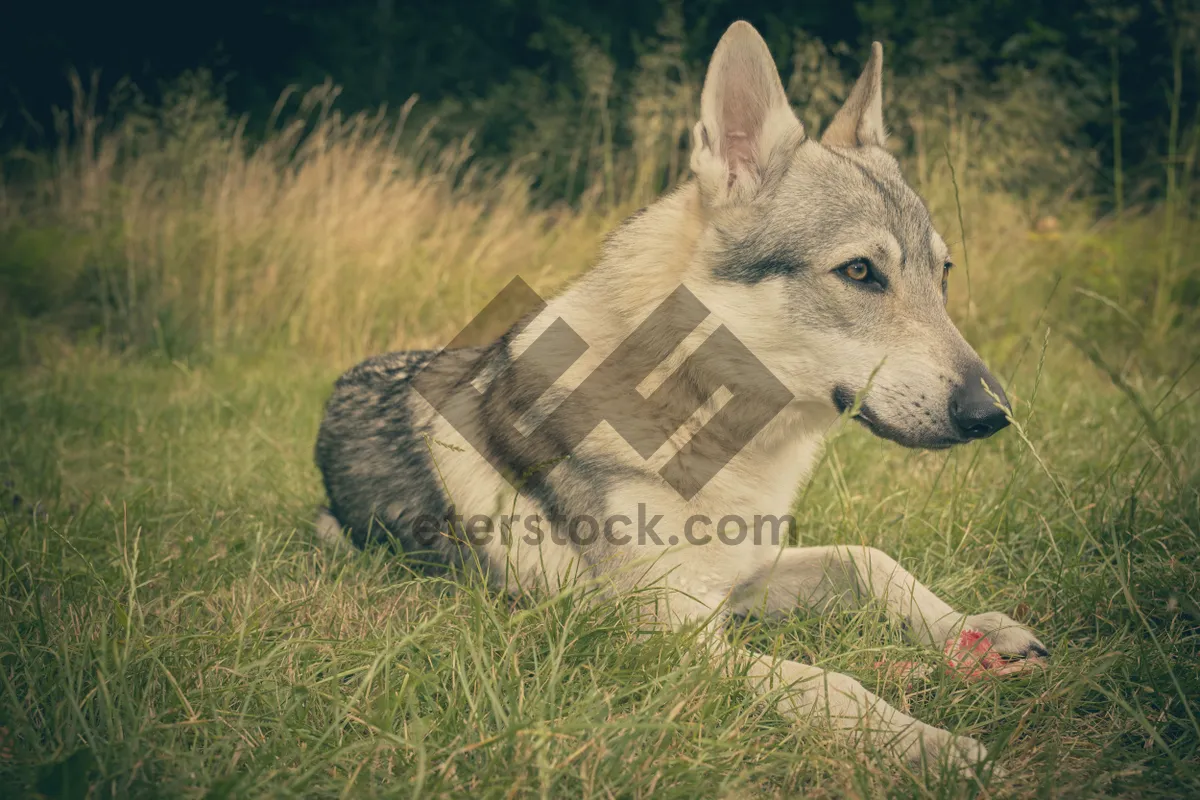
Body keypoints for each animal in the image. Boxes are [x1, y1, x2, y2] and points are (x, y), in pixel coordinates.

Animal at [316, 21, 1051, 772]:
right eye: (859, 272)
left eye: (944, 273)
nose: (995, 413)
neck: (715, 436)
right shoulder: (672, 634)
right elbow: (828, 682)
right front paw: (933, 745)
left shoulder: (745, 578)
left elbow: (872, 560)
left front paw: (976, 629)